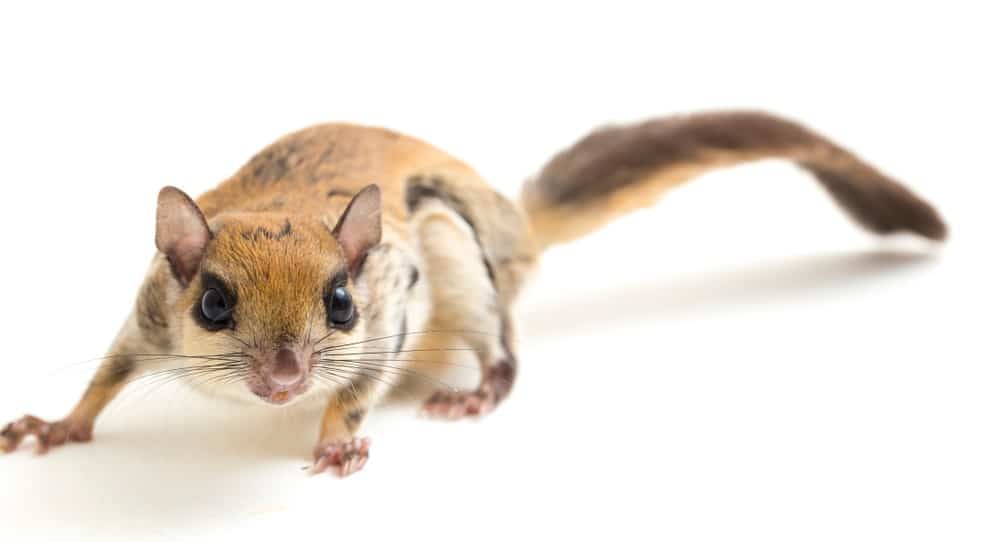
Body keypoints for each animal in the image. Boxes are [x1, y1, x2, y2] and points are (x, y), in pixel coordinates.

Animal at [0, 111, 946, 477]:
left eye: (340, 303)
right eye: (213, 306)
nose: (284, 379)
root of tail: (510, 223)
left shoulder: (394, 306)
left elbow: (359, 391)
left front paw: (336, 440)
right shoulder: (147, 315)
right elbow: (104, 378)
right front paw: (56, 428)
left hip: (456, 249)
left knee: (507, 354)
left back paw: (476, 391)